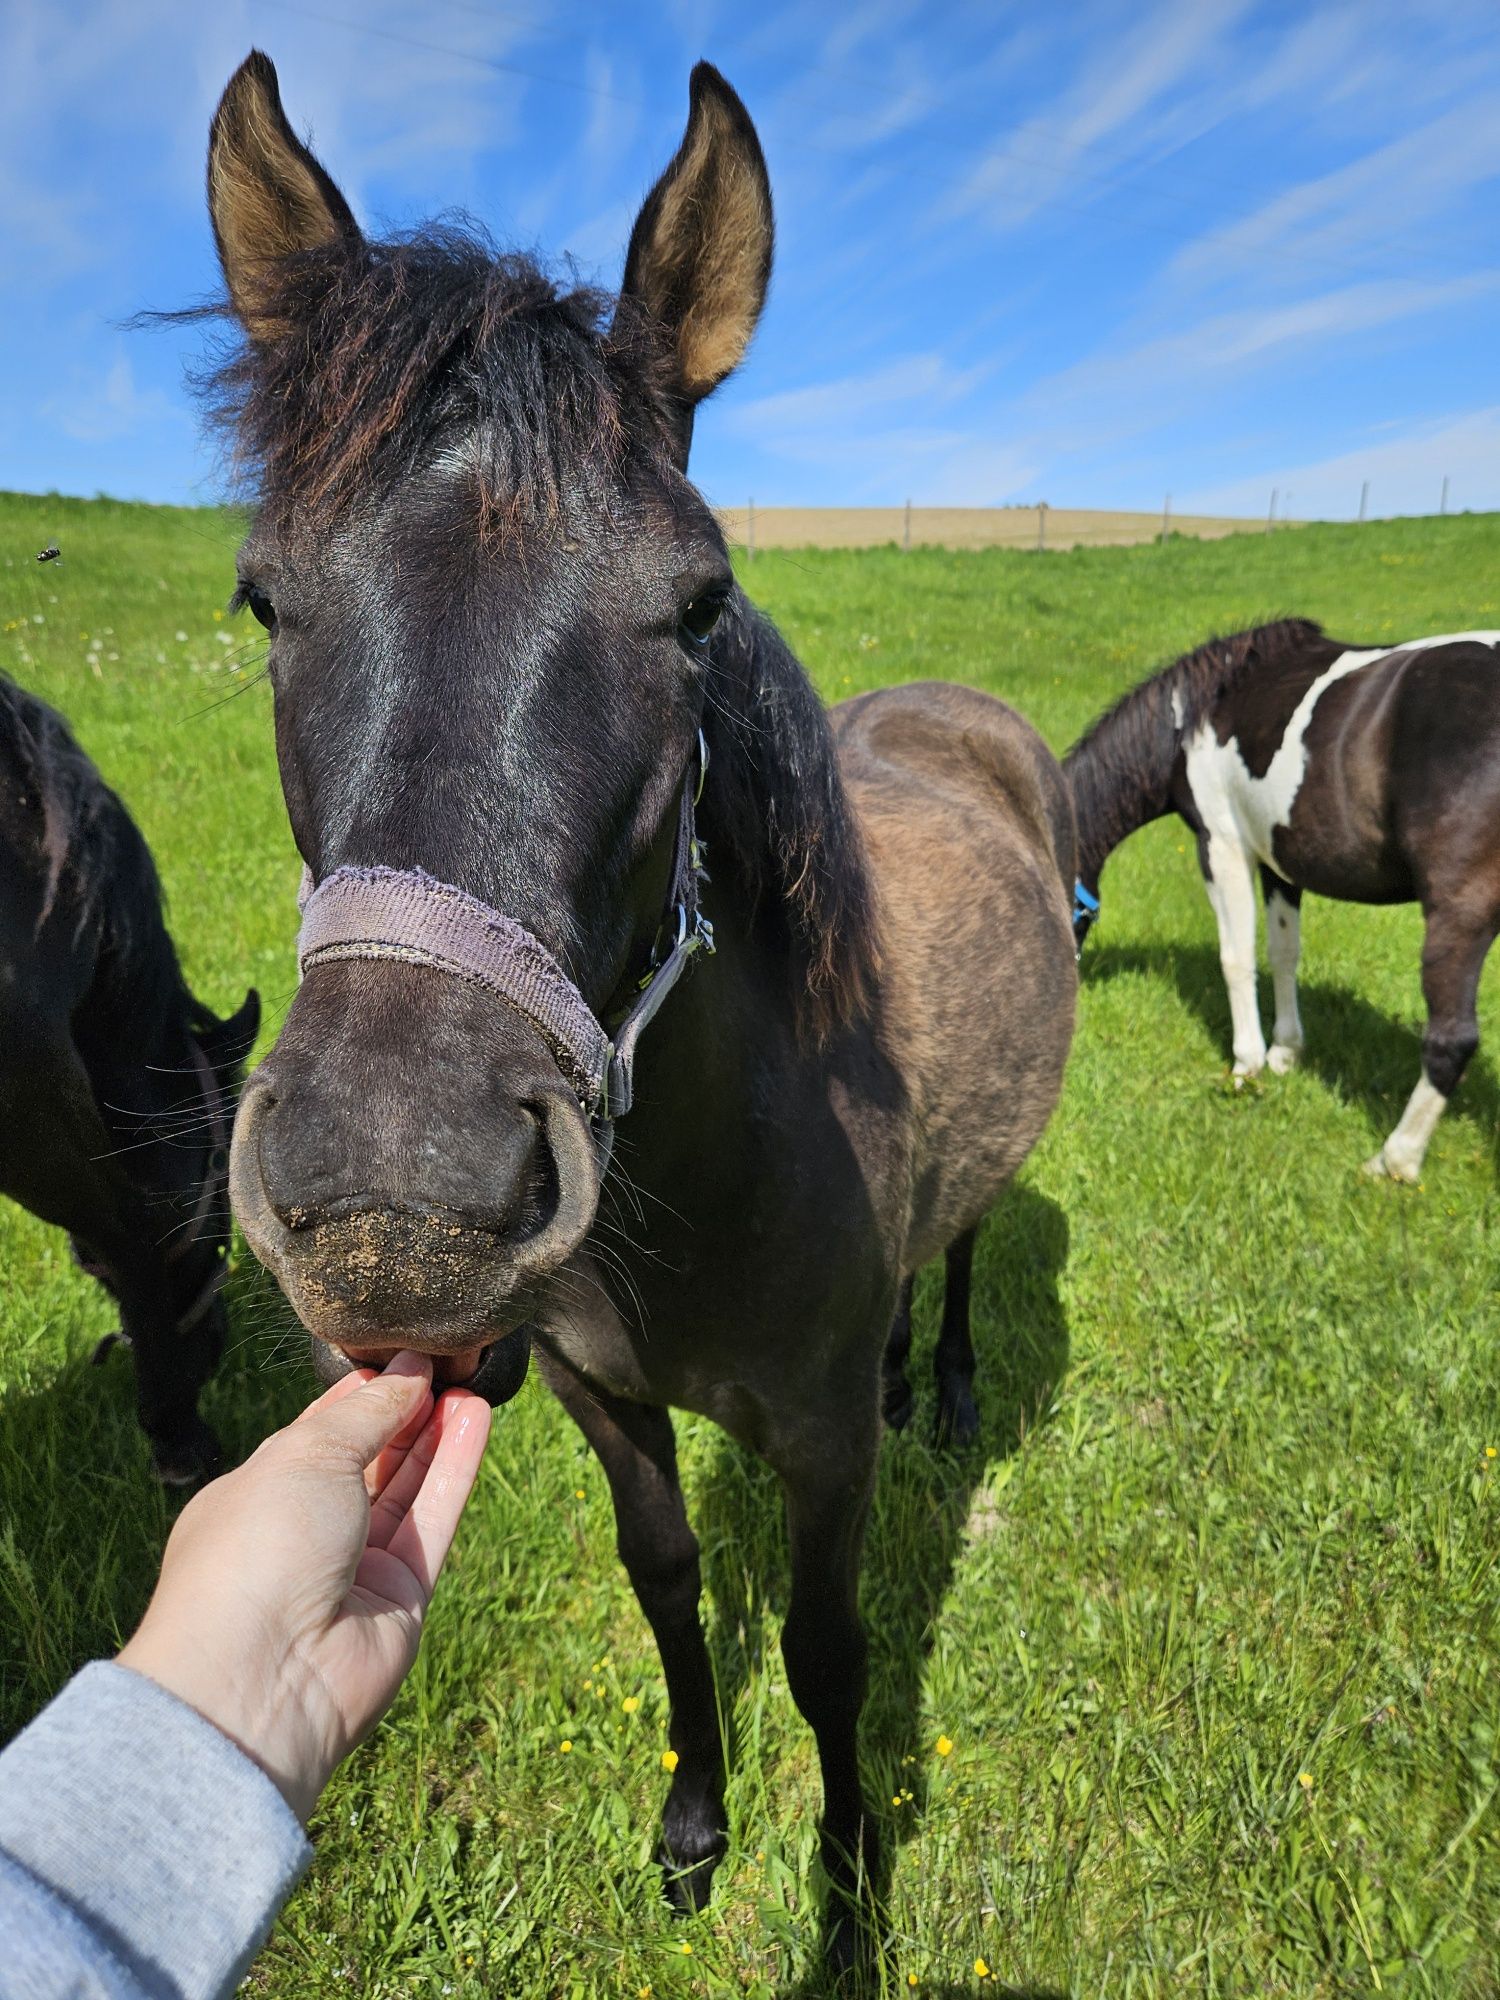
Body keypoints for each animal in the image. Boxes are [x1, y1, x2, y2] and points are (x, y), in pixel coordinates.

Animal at [209, 50, 1080, 1968]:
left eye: (697, 606)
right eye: (262, 597)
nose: (393, 1197)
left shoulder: (819, 1454)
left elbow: (831, 1659)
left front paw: (846, 1898)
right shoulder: (607, 1403)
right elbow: (669, 1582)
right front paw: (695, 1826)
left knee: (964, 1248)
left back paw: (944, 1377)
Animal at [1072, 616, 1500, 1176]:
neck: (1192, 718)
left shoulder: (1221, 847)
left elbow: (1236, 960)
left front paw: (1247, 1064)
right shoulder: (1281, 863)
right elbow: (1282, 954)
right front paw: (1285, 1053)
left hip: (1459, 914)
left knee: (1452, 1038)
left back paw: (1394, 1160)